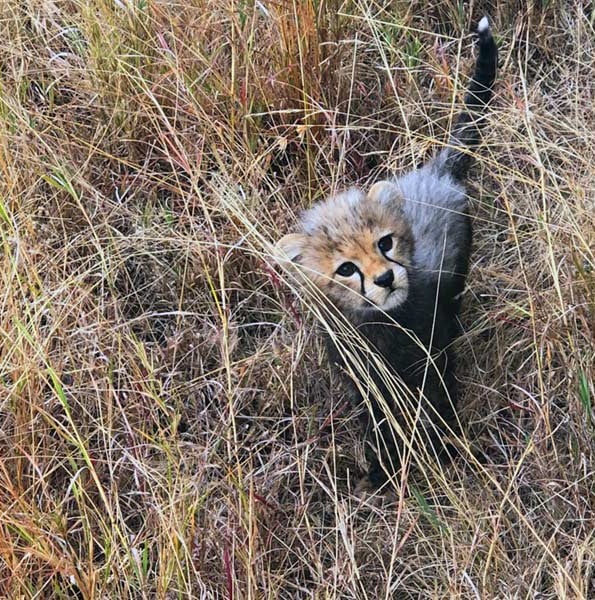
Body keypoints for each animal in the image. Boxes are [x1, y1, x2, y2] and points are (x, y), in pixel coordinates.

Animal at [276, 17, 498, 490]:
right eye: (345, 268)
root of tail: (431, 171)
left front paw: (444, 455)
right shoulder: (364, 379)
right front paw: (383, 470)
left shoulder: (433, 358)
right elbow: (378, 422)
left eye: (385, 243)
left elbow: (439, 406)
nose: (384, 279)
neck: (381, 325)